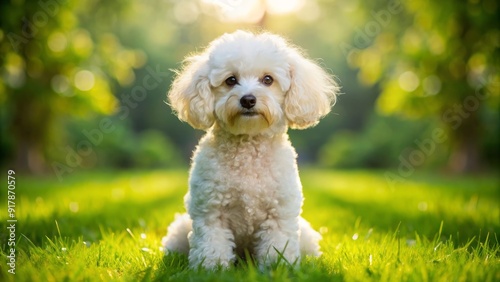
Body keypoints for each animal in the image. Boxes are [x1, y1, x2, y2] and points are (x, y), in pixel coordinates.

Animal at [162, 30, 338, 268]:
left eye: (268, 79)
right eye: (231, 80)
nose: (248, 99)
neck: (248, 148)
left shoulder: (279, 213)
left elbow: (277, 246)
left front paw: (278, 267)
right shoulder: (210, 211)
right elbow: (212, 243)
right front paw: (212, 267)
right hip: (181, 229)